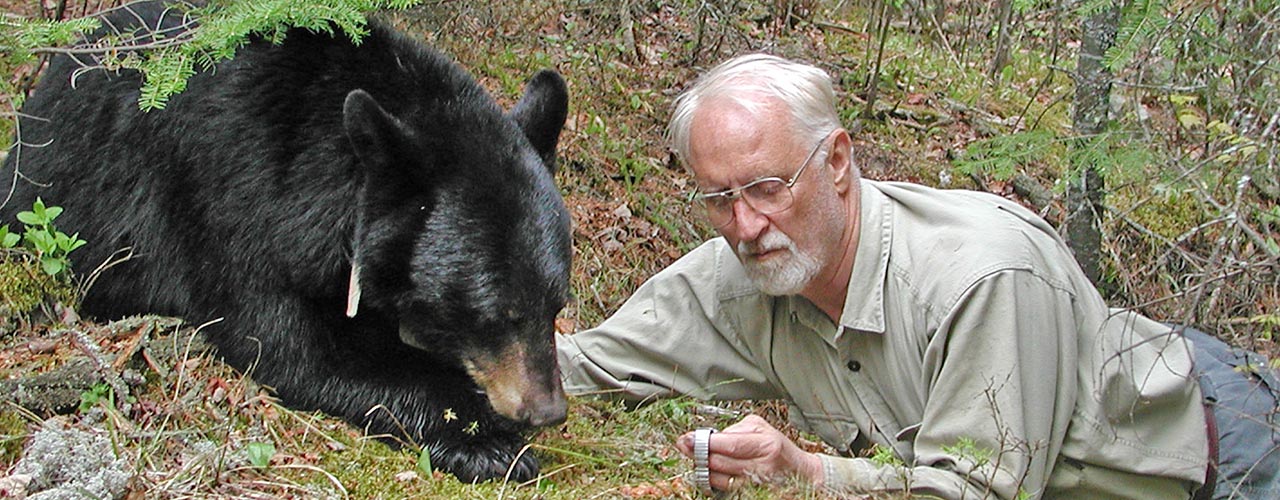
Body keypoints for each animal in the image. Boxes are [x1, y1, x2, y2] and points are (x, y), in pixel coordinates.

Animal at [2, 1, 571, 483]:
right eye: (497, 314)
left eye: (556, 306)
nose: (548, 410)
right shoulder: (235, 198)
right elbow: (294, 347)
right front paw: (486, 441)